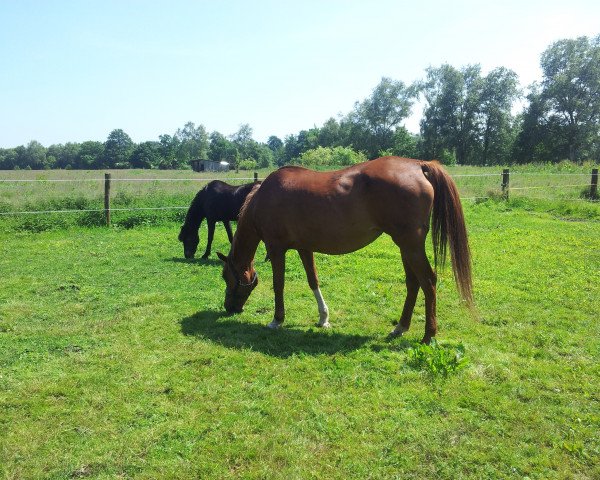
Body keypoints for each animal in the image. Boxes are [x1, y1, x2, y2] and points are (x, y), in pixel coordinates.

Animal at [216, 158, 474, 344]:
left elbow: (278, 285)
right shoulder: (304, 248)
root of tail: (419, 165)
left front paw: (277, 320)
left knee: (428, 281)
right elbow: (313, 280)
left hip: (410, 245)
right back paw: (400, 327)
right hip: (405, 246)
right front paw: (323, 318)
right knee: (413, 283)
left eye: (226, 276)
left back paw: (428, 335)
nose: (229, 308)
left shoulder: (276, 248)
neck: (263, 198)